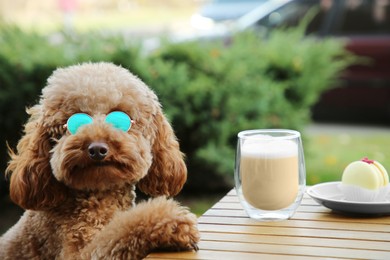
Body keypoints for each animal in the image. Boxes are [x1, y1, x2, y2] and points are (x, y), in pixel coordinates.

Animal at [0, 62, 200, 258]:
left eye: (121, 117)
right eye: (73, 122)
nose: (97, 149)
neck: (99, 196)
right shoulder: (78, 251)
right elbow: (117, 233)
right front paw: (172, 223)